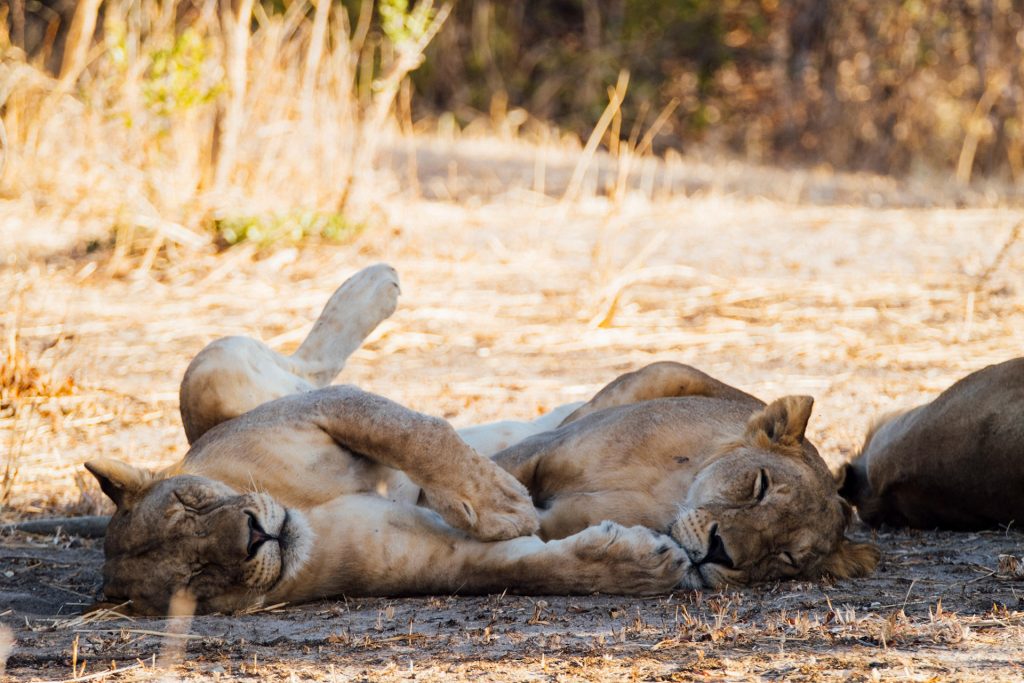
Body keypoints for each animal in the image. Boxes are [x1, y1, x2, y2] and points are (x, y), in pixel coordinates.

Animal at [85, 264, 878, 615]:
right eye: (196, 580)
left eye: (193, 502)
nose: (255, 536)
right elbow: (530, 562)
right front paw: (629, 560)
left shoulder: (331, 415)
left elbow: (413, 430)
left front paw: (495, 501)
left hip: (220, 377)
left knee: (307, 362)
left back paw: (376, 283)